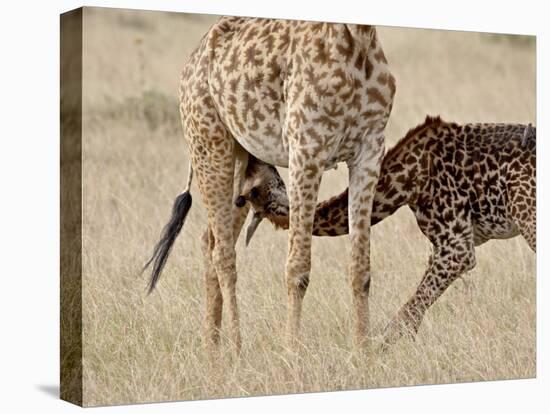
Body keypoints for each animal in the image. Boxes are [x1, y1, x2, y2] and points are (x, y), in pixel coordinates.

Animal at [146, 17, 396, 352]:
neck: (357, 40)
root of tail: (193, 59)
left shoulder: (370, 150)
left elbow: (361, 268)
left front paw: (363, 355)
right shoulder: (306, 150)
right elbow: (298, 268)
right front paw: (293, 356)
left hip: (240, 164)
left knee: (210, 241)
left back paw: (212, 350)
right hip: (209, 146)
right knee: (223, 253)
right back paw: (236, 350)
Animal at [238, 115, 540, 346]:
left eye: (257, 177)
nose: (250, 154)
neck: (405, 182)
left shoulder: (457, 247)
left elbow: (405, 317)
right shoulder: (447, 246)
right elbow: (413, 313)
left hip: (528, 219)